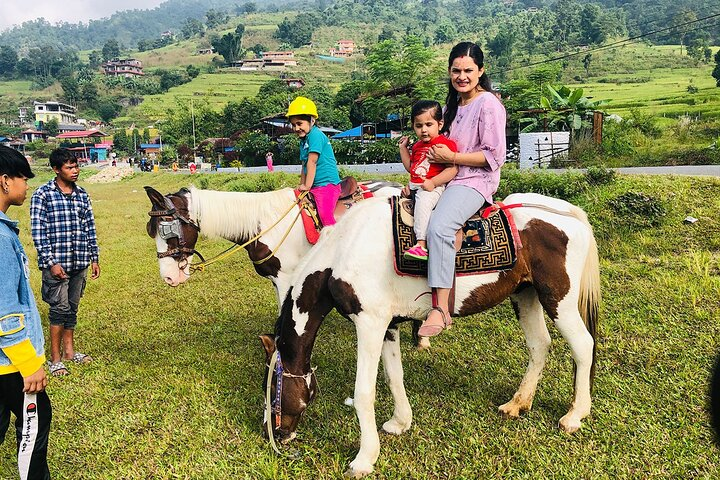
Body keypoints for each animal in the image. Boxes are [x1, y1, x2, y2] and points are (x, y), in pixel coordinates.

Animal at [262, 191, 600, 476]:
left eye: (273, 389)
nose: (273, 433)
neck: (345, 249)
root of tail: (571, 215)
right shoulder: (388, 325)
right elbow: (394, 376)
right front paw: (400, 422)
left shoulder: (369, 324)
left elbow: (364, 392)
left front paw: (364, 458)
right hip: (526, 295)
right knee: (539, 345)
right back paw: (518, 403)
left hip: (558, 299)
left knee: (583, 346)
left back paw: (576, 415)